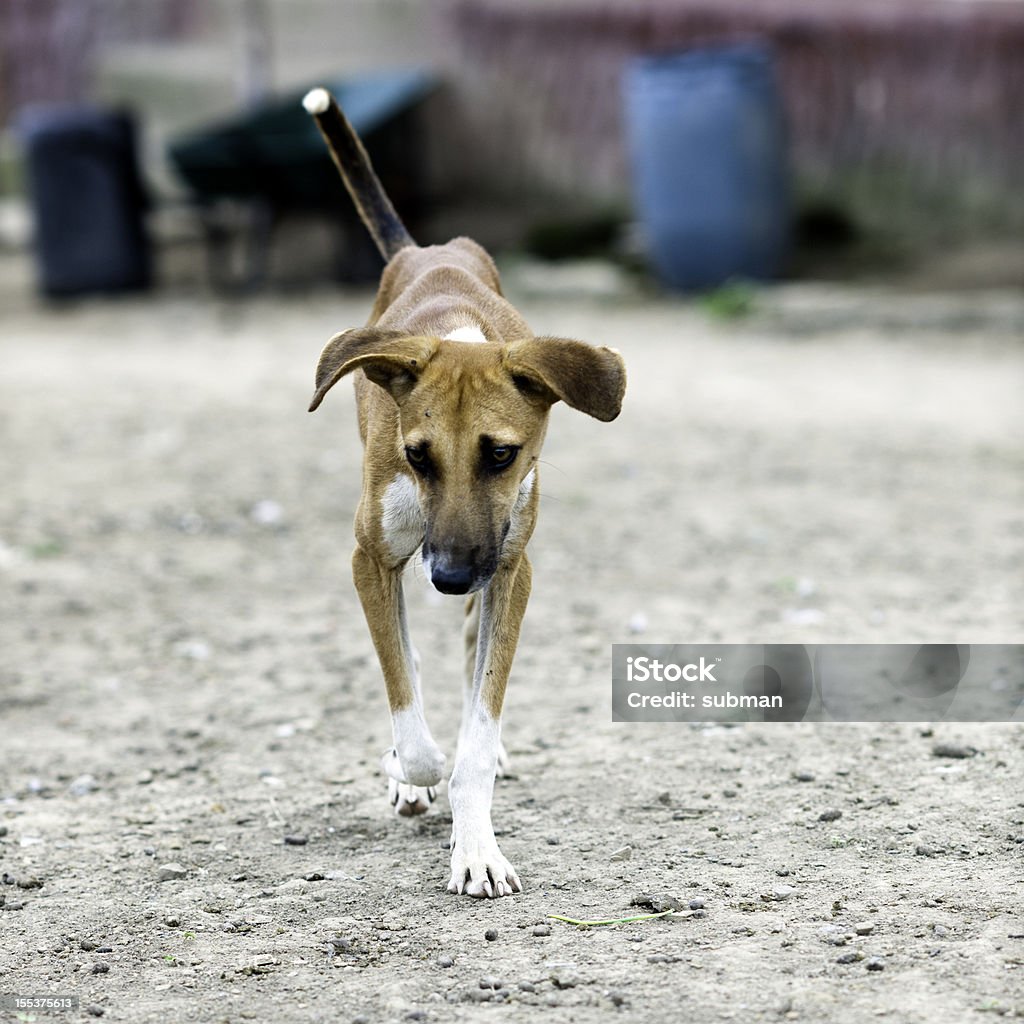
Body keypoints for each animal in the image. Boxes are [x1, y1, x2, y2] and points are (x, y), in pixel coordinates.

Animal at [303, 88, 622, 897]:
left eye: (502, 454)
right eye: (416, 456)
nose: (447, 577)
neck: (462, 336)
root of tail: (428, 250)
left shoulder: (510, 566)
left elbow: (478, 726)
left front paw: (475, 843)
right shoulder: (371, 559)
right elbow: (409, 703)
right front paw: (411, 772)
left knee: (475, 649)